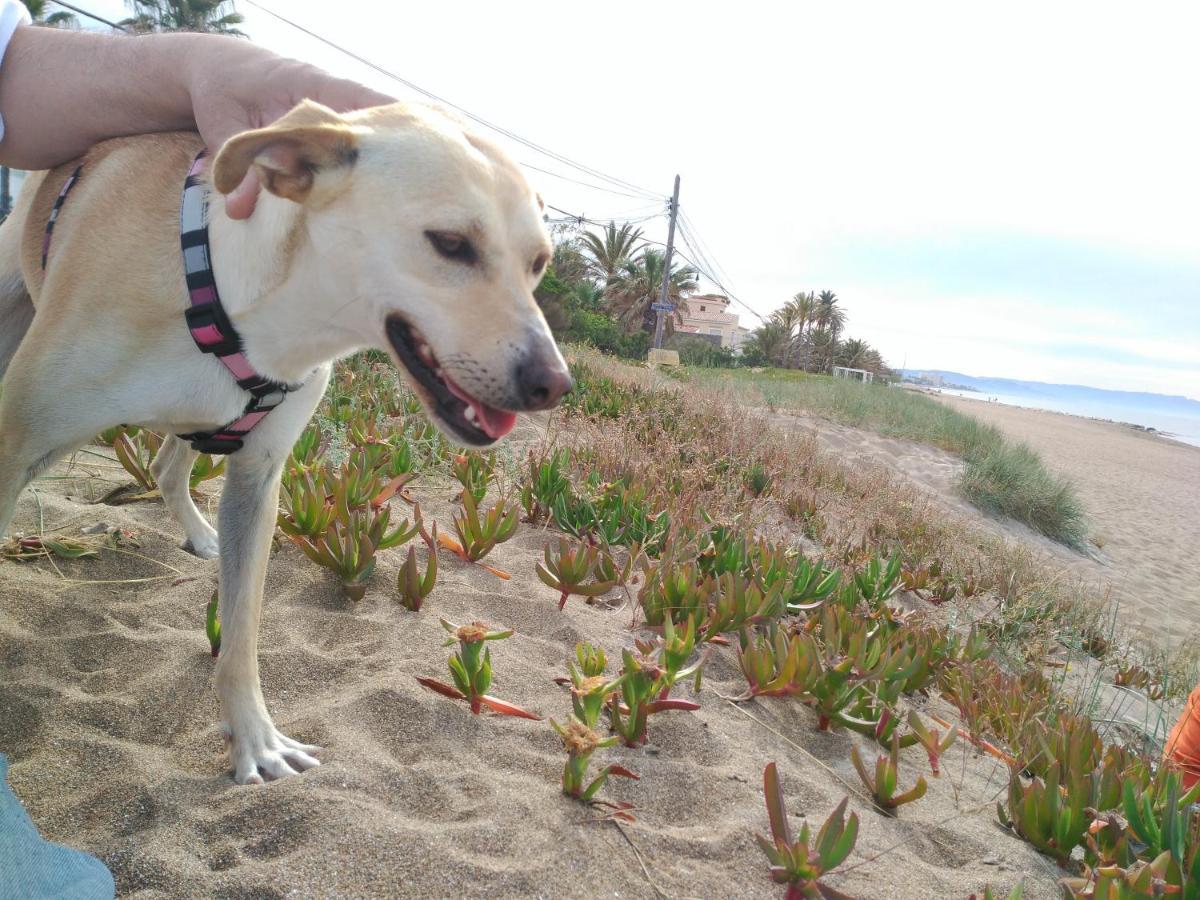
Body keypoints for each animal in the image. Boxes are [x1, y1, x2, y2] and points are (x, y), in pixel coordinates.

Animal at [0, 102, 571, 787]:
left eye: (538, 263)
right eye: (451, 244)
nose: (553, 384)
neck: (256, 313)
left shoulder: (257, 480)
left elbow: (242, 634)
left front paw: (255, 738)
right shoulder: (15, 444)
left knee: (167, 466)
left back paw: (200, 535)